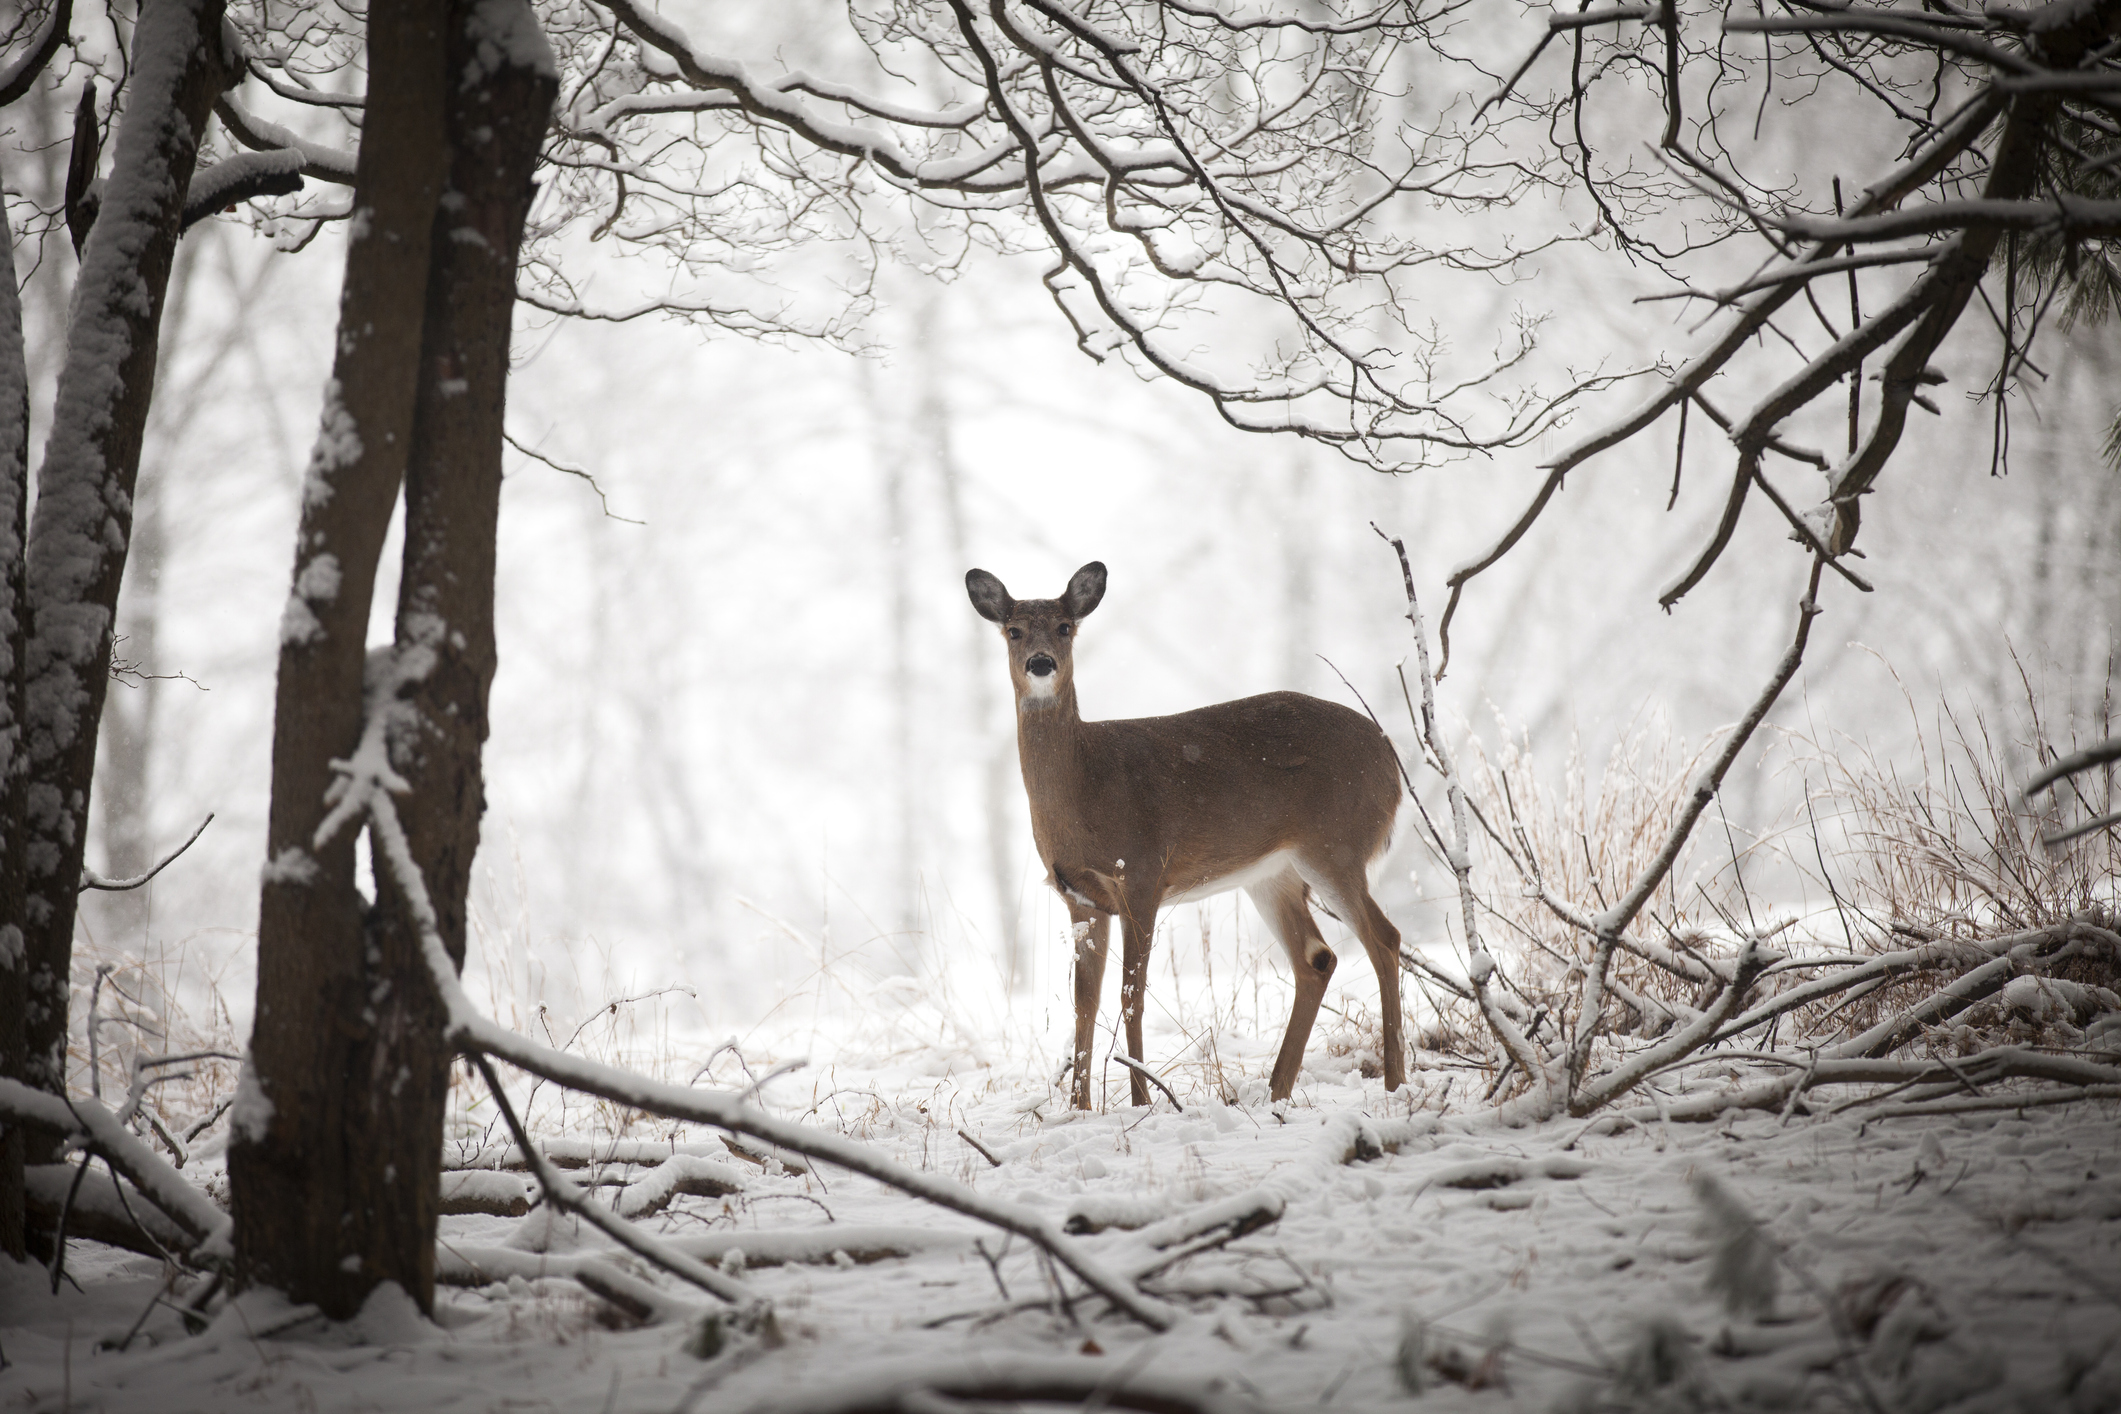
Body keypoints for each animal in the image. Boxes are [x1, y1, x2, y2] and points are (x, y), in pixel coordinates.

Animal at [971, 559, 1408, 1102]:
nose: (1040, 663)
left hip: (1336, 845)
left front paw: (1142, 1100)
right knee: (1317, 958)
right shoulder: (1081, 898)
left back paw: (1394, 1082)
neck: (1086, 783)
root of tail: (1392, 761)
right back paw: (1276, 1090)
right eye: (1013, 630)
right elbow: (1083, 1005)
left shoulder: (1142, 874)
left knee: (1384, 939)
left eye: (1065, 626)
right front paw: (1078, 1107)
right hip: (1273, 874)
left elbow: (1130, 995)